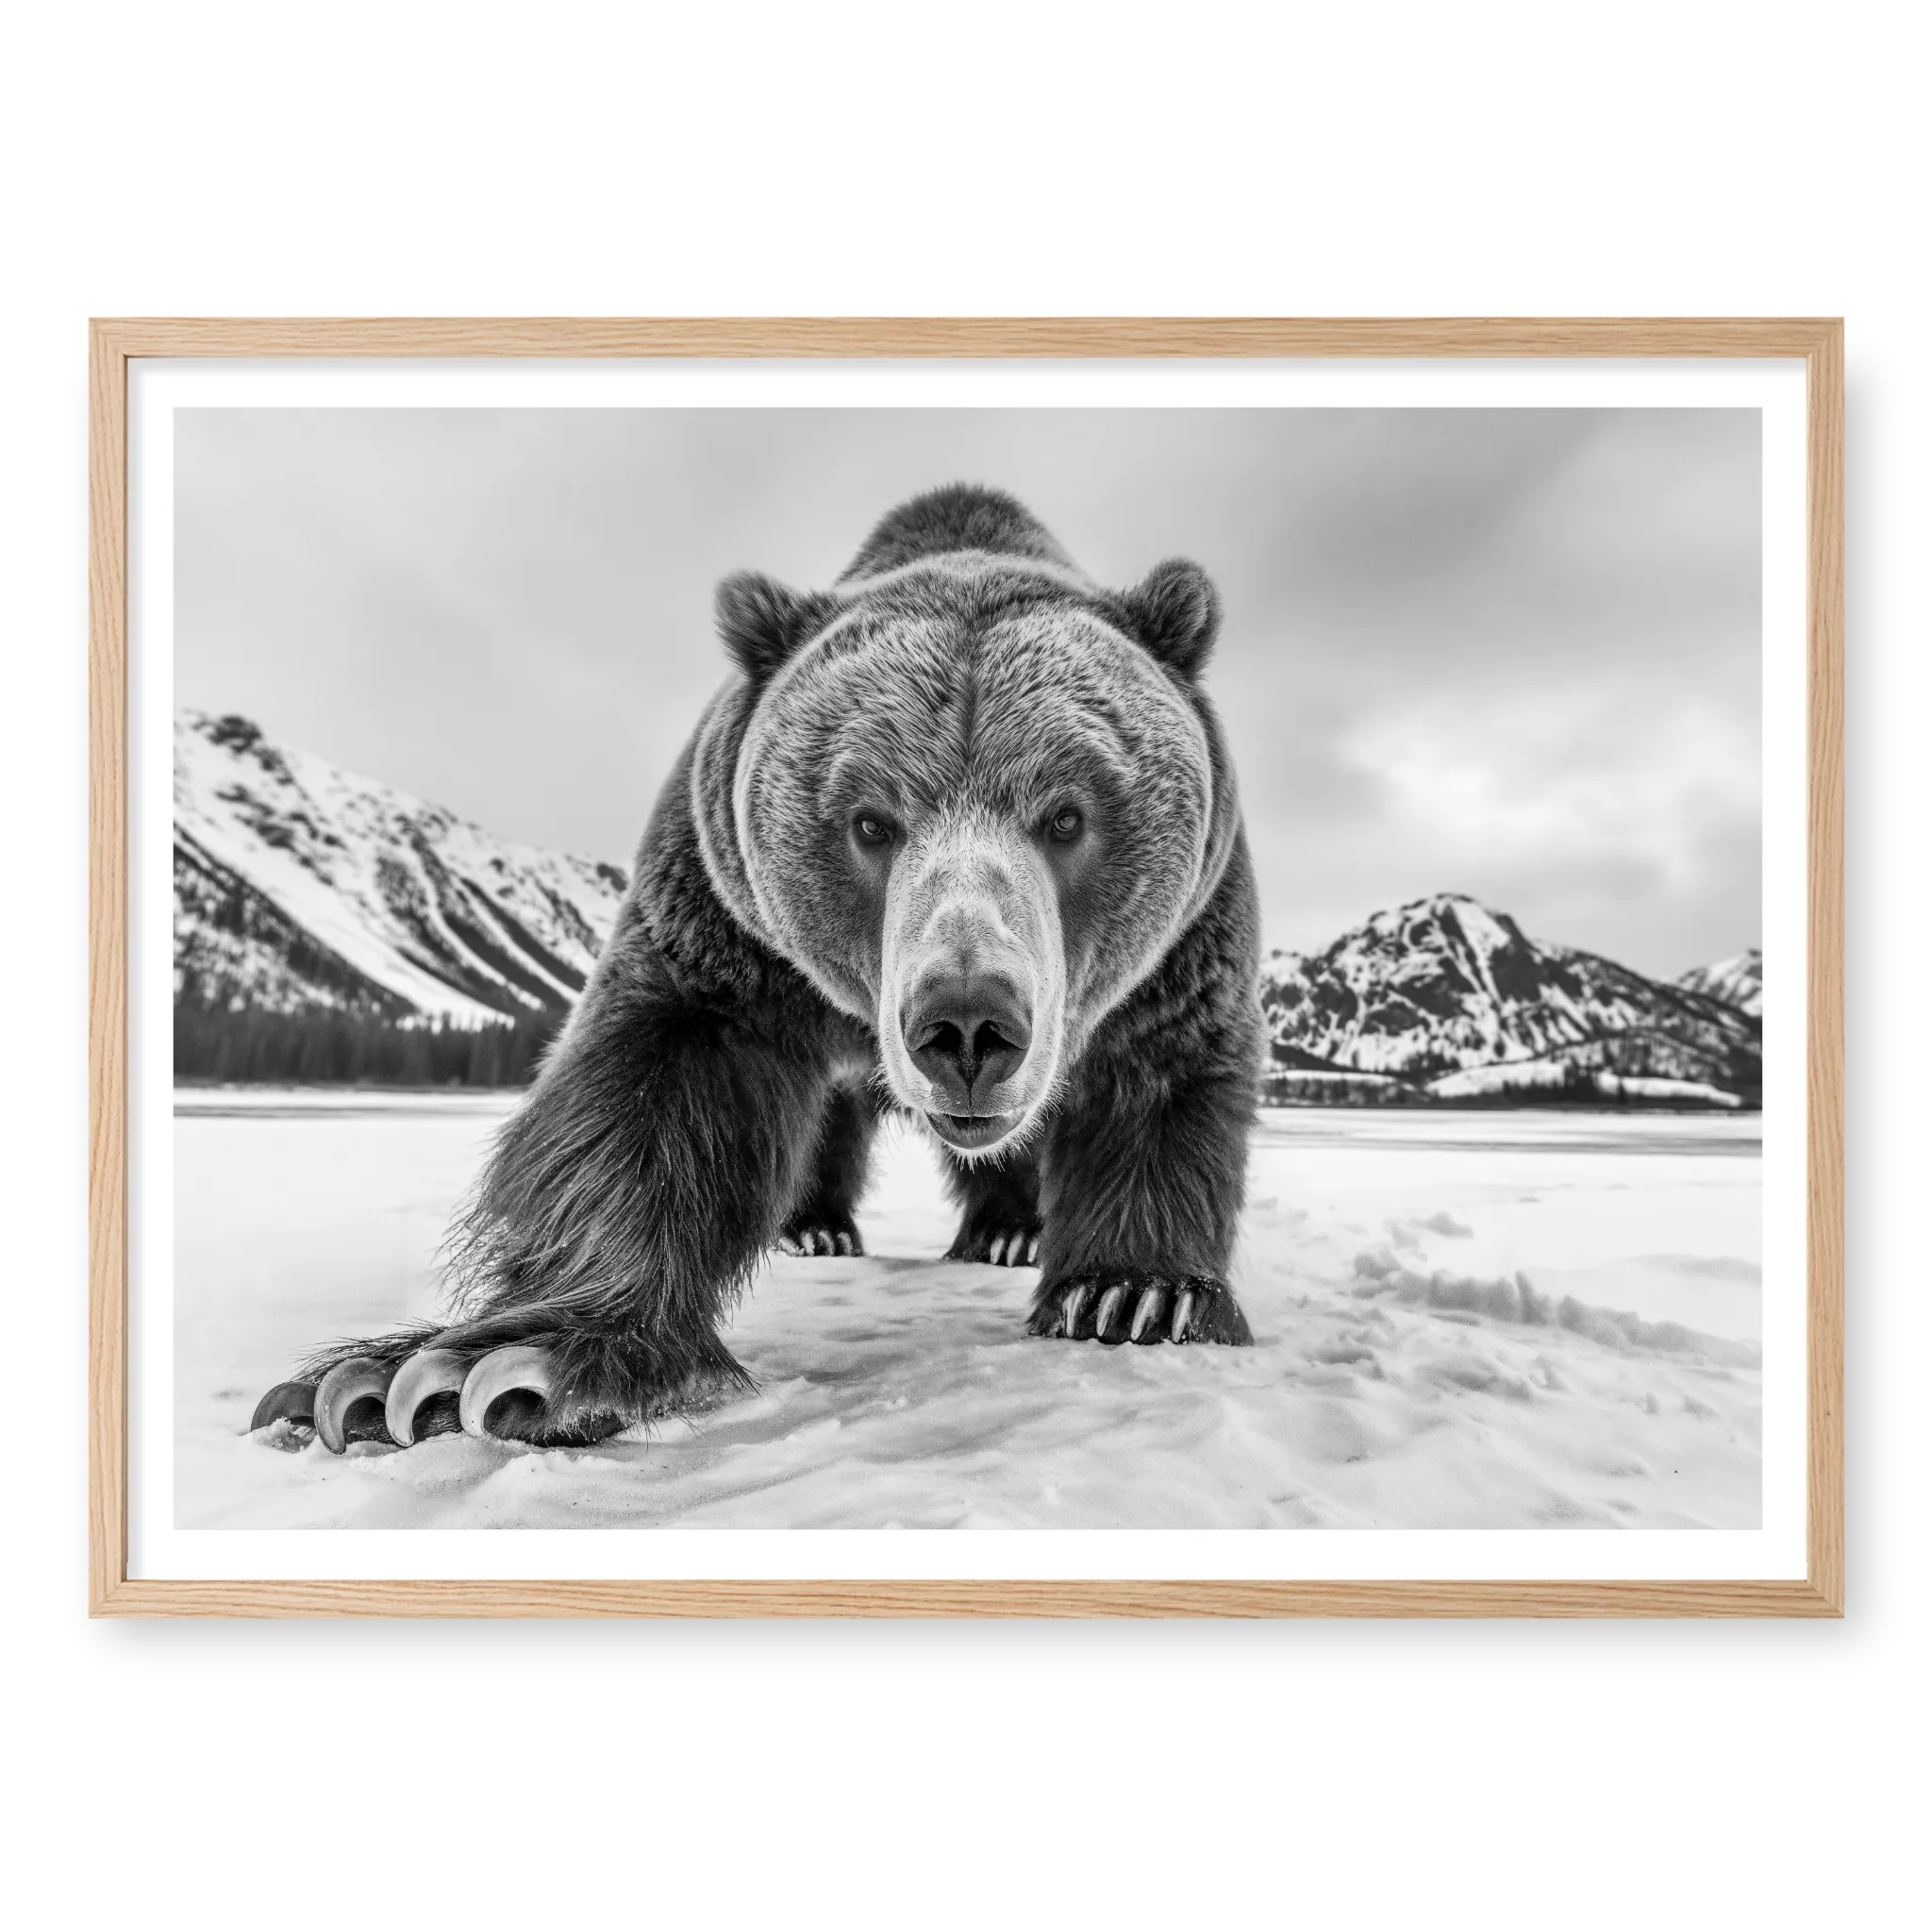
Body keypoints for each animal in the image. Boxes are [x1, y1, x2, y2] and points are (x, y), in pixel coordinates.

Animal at [251, 484, 1263, 1454]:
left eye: (1067, 814)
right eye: (870, 820)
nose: (968, 1021)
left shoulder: (1177, 954)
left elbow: (1156, 1085)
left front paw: (1133, 1295)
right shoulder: (726, 932)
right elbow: (655, 1096)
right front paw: (442, 1377)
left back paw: (1011, 1233)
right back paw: (817, 1225)